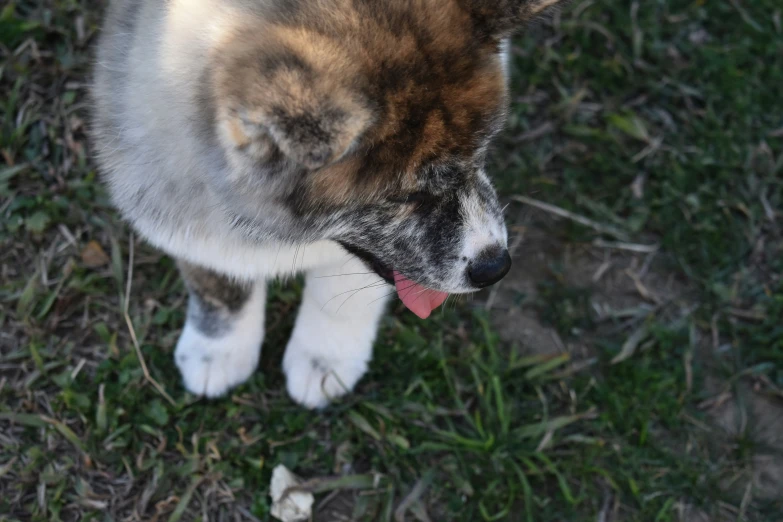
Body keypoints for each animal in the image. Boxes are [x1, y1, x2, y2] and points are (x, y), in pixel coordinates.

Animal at [92, 0, 568, 406]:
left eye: (482, 153)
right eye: (405, 196)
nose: (496, 267)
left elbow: (338, 294)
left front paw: (325, 359)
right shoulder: (173, 189)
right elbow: (218, 281)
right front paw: (218, 350)